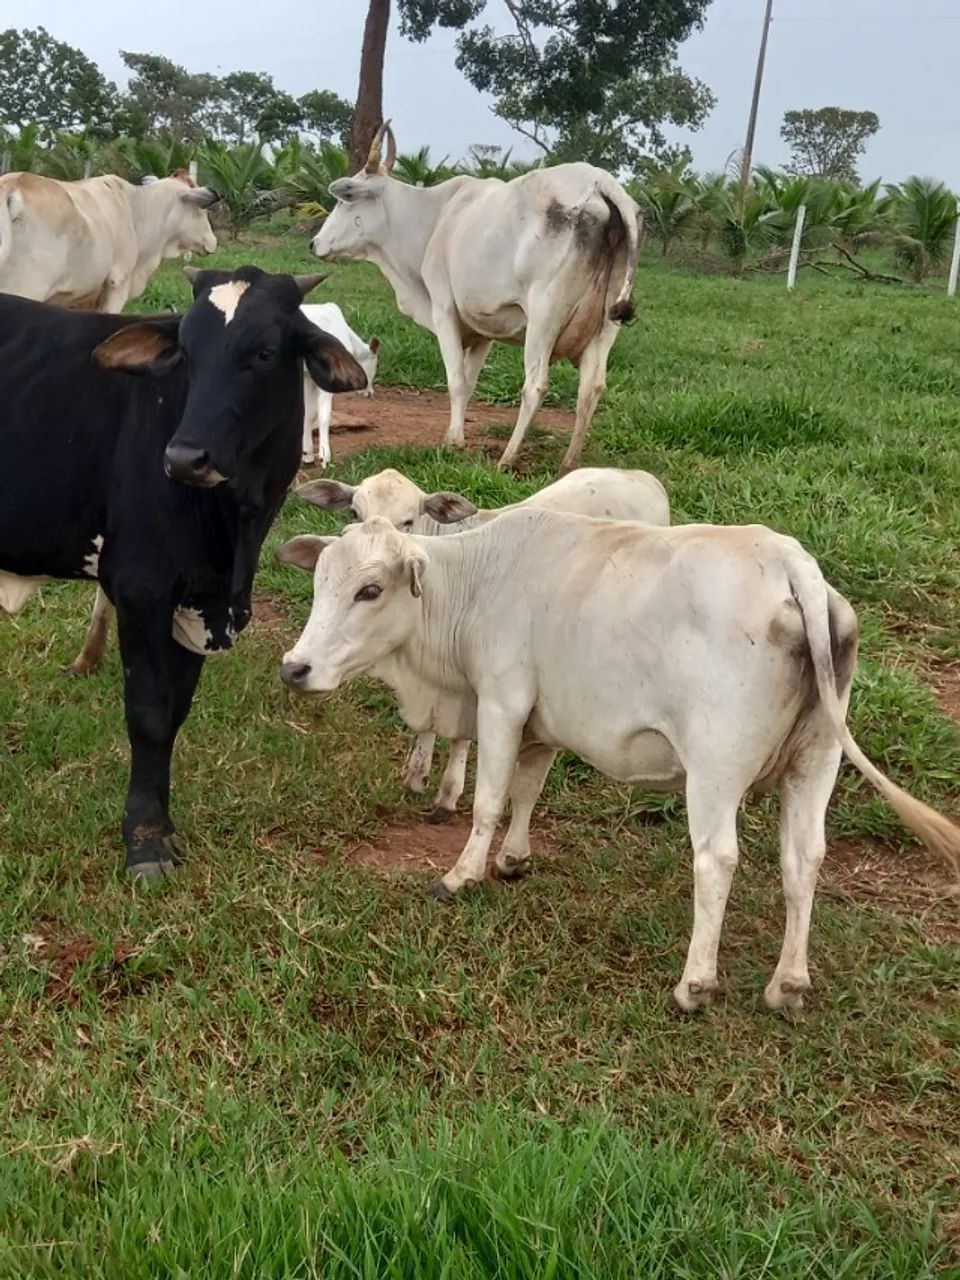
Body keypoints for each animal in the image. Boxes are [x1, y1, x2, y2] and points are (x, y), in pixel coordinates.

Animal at [0, 267, 367, 881]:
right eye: (187, 353)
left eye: (264, 353)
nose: (185, 458)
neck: (234, 521)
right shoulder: (141, 588)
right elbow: (149, 711)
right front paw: (145, 841)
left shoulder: (200, 600)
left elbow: (175, 710)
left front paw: (164, 826)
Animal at [276, 511, 960, 1012]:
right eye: (318, 584)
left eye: (370, 589)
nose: (294, 668)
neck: (477, 581)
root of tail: (793, 564)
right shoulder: (541, 722)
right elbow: (527, 790)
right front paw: (513, 860)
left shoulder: (501, 702)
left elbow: (489, 799)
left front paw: (461, 874)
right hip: (815, 761)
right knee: (804, 859)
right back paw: (786, 985)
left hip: (714, 772)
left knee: (718, 860)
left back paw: (694, 985)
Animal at [296, 466, 670, 818]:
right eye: (354, 513)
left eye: (408, 520)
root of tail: (642, 477)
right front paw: (418, 771)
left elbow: (462, 737)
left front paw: (448, 793)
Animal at [300, 302, 380, 467]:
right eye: (376, 365)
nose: (369, 392)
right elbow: (324, 416)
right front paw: (324, 457)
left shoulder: (308, 377)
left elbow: (309, 414)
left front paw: (307, 454)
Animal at [310, 122, 641, 475]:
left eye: (345, 202)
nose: (314, 243)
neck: (432, 220)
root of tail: (600, 183)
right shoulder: (484, 330)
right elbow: (469, 382)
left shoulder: (444, 311)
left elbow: (456, 379)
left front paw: (453, 442)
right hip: (606, 325)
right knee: (591, 387)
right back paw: (569, 463)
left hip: (544, 315)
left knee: (535, 385)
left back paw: (508, 457)